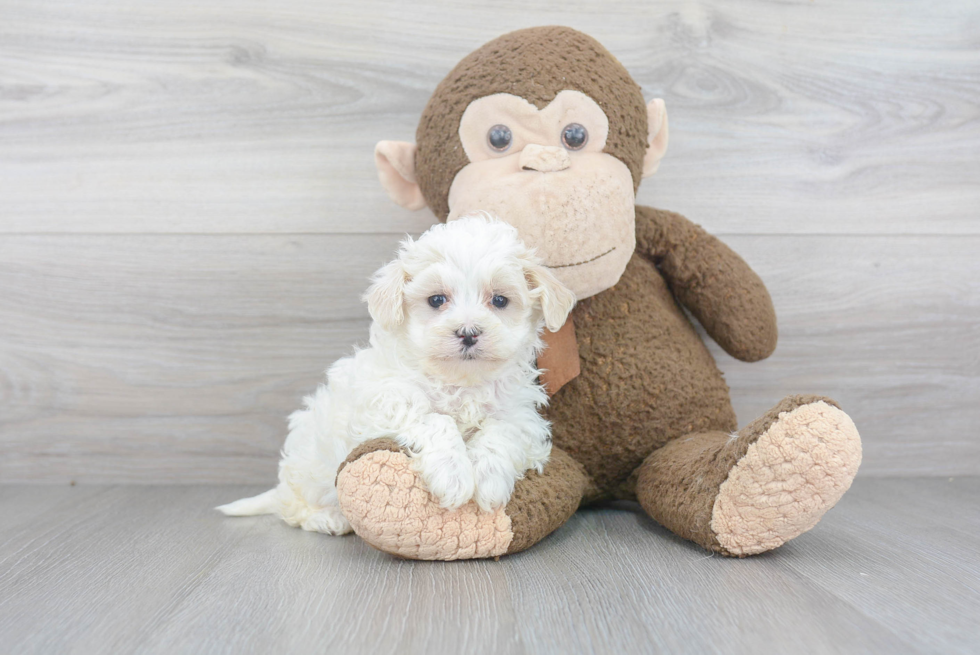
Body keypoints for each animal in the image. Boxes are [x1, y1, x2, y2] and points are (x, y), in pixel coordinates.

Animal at [216, 213, 576, 536]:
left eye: (499, 300)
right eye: (437, 300)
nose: (468, 332)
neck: (459, 382)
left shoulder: (521, 415)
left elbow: (502, 431)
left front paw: (489, 480)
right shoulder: (386, 399)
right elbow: (435, 419)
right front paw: (454, 475)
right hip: (308, 469)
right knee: (292, 509)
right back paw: (328, 519)